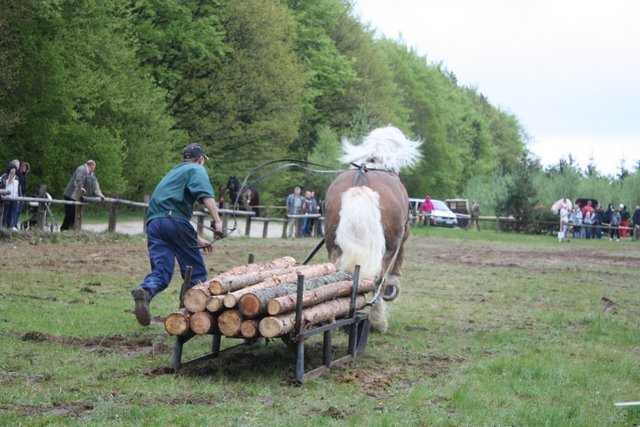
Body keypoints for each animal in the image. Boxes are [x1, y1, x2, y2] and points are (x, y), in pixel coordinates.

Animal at [324, 125, 420, 332]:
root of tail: (360, 186)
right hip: (389, 246)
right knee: (378, 280)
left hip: (334, 245)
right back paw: (379, 320)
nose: (393, 292)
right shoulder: (401, 239)